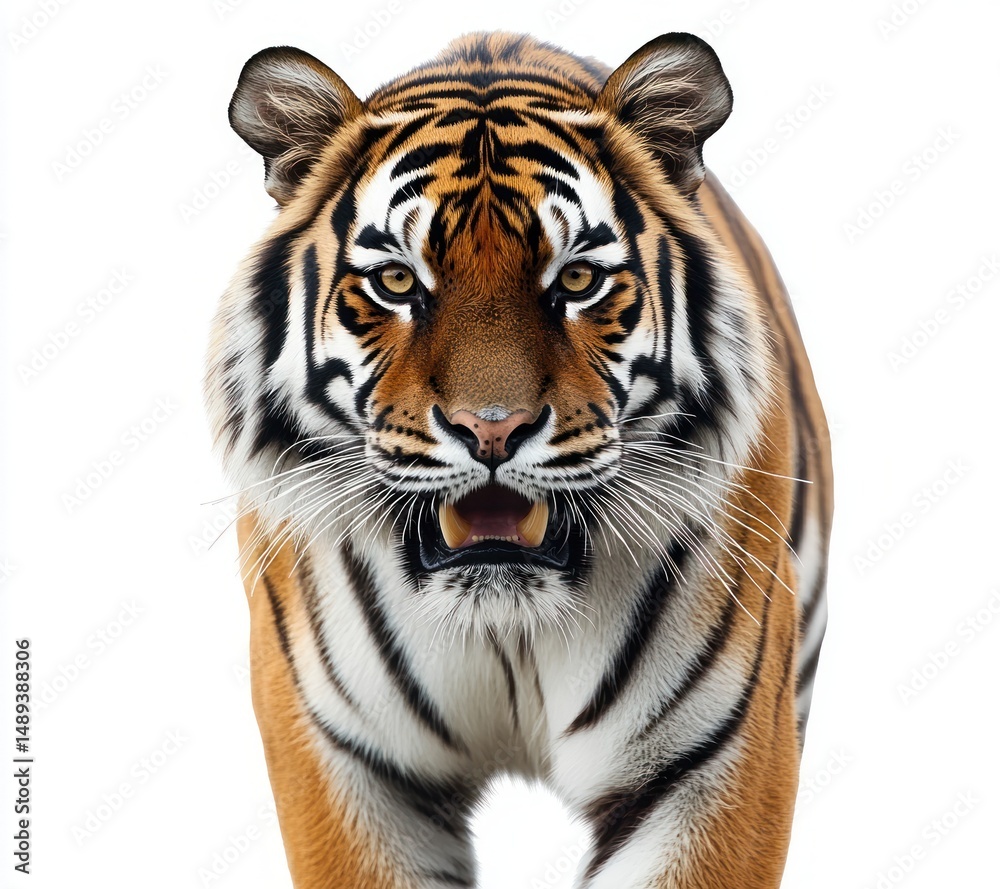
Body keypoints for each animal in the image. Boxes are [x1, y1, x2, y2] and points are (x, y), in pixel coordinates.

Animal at [204, 30, 833, 889]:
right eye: (396, 280)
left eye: (578, 279)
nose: (491, 430)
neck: (508, 628)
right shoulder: (339, 749)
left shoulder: (717, 755)